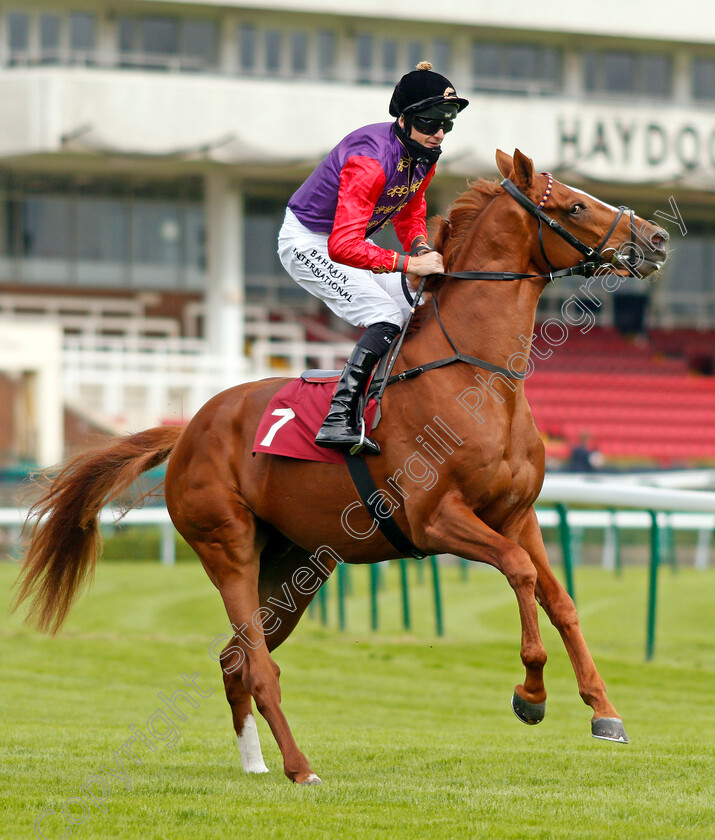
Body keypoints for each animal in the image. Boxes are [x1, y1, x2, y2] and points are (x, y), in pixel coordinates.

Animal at [12, 149, 672, 780]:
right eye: (573, 205)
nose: (657, 238)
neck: (477, 376)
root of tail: (190, 427)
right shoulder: (436, 519)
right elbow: (519, 571)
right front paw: (530, 694)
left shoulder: (517, 514)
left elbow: (558, 598)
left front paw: (605, 710)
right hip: (228, 549)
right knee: (258, 664)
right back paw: (299, 769)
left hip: (295, 565)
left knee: (235, 658)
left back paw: (256, 764)